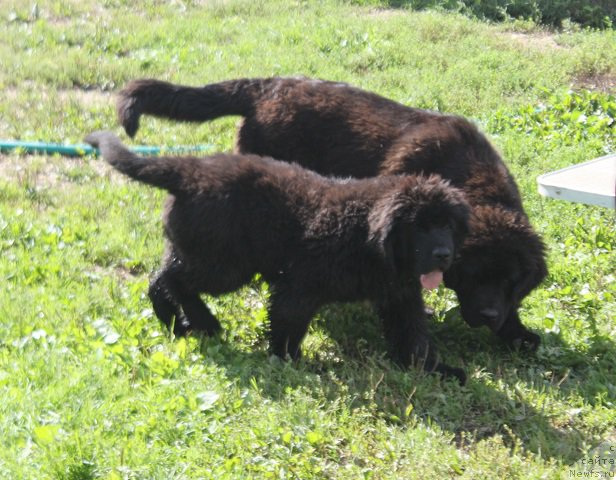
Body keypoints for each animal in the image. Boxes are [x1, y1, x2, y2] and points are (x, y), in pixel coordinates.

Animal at [86, 128, 470, 382]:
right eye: (419, 226)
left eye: (448, 225)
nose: (444, 254)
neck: (369, 237)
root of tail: (189, 172)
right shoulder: (299, 286)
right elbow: (287, 325)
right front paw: (292, 361)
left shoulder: (401, 296)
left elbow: (414, 337)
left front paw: (435, 369)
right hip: (226, 266)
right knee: (172, 279)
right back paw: (205, 322)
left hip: (198, 250)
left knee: (159, 279)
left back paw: (176, 324)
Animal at [116, 78, 548, 348]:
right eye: (474, 274)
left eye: (511, 281)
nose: (490, 316)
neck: (468, 174)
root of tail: (269, 85)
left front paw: (517, 331)